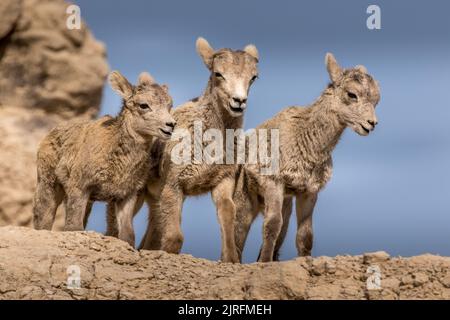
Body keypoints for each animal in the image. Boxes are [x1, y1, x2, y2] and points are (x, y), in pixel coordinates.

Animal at [31, 70, 175, 245]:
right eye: (143, 105)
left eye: (169, 105)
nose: (170, 125)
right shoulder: (80, 188)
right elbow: (74, 227)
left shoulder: (126, 196)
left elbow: (127, 235)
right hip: (49, 185)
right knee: (43, 219)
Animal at [234, 52, 382, 262]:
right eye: (351, 94)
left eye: (376, 100)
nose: (371, 123)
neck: (304, 140)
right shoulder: (273, 183)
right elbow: (272, 226)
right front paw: (264, 264)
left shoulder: (308, 191)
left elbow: (305, 235)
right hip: (244, 202)